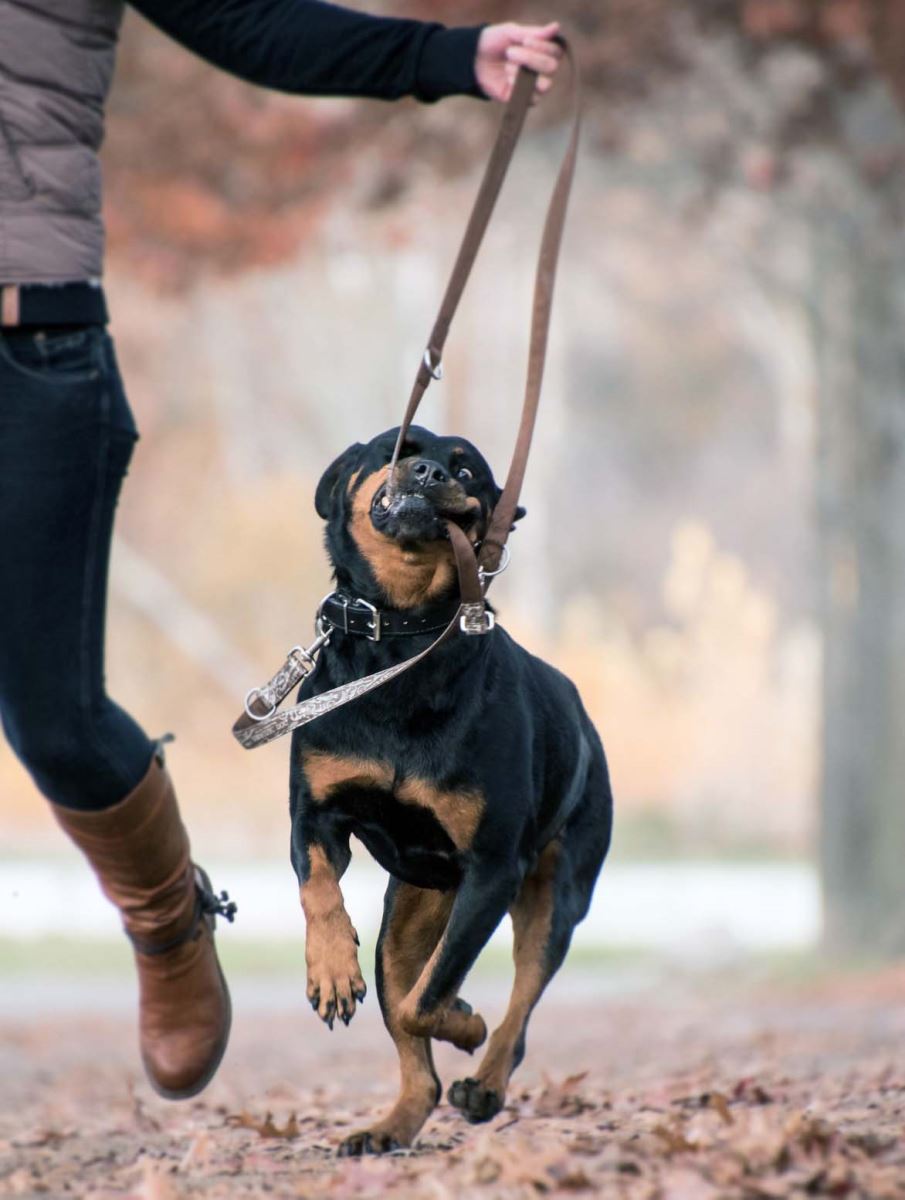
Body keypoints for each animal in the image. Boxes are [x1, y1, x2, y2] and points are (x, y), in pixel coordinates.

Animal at [289, 427, 609, 1156]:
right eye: (397, 448)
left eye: (466, 472)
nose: (429, 472)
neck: (405, 637)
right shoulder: (314, 813)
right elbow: (318, 888)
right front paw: (330, 972)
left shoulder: (493, 868)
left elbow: (430, 996)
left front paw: (463, 1021)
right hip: (407, 917)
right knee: (416, 1046)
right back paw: (389, 1127)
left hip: (556, 892)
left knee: (517, 1002)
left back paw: (483, 1083)